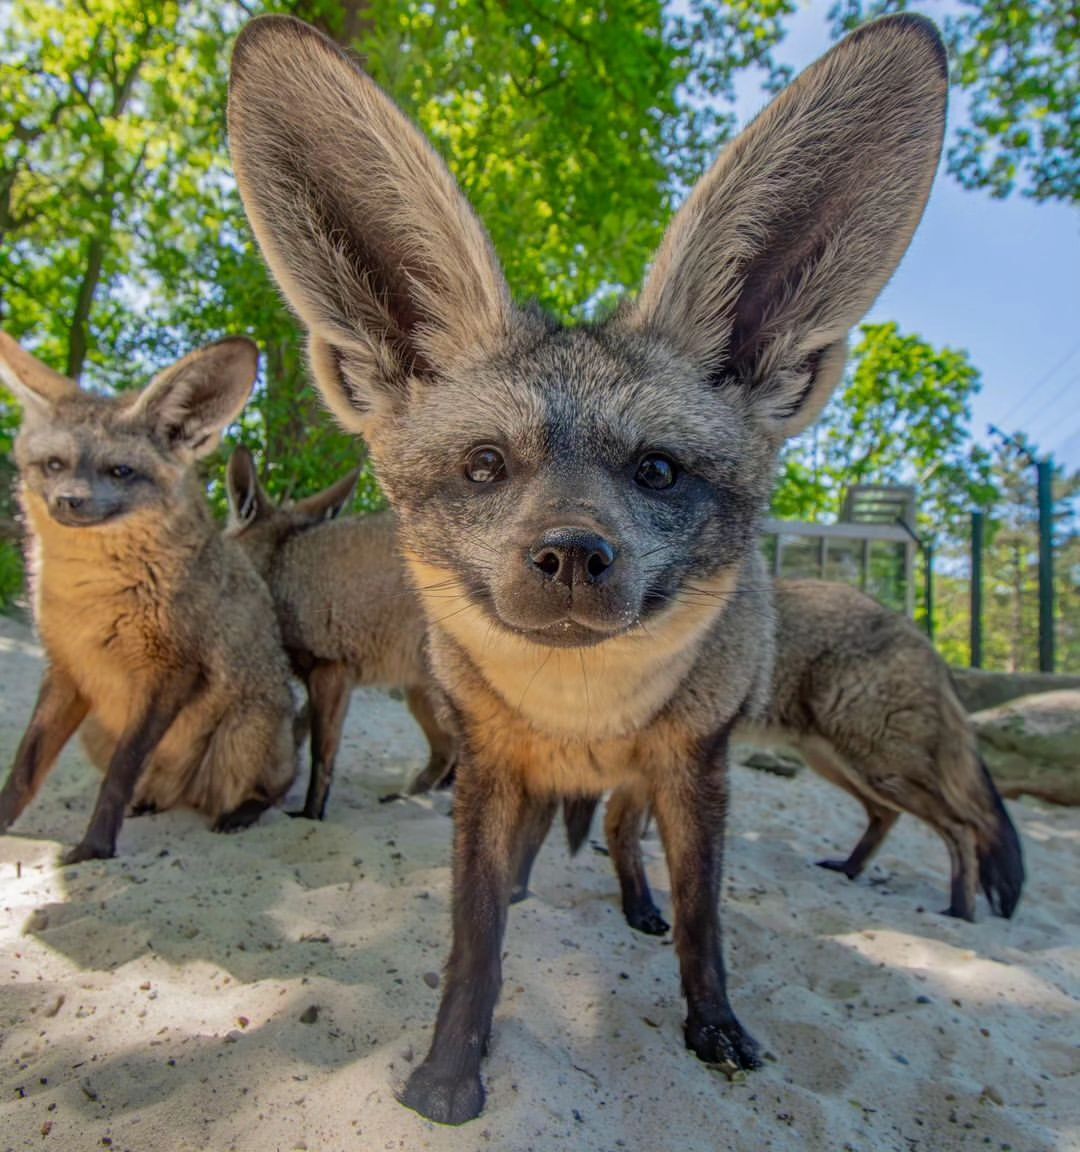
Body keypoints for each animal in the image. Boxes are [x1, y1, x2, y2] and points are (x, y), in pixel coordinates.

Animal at [0, 336, 294, 861]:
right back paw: (152, 802)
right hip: (99, 727)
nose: (68, 500)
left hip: (246, 730)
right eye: (54, 465)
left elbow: (120, 772)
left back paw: (239, 812)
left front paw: (94, 849)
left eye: (121, 471)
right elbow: (25, 768)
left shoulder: (173, 670)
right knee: (159, 790)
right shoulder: (66, 668)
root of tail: (187, 791)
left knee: (274, 790)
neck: (89, 605)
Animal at [225, 449, 453, 820]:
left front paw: (310, 815)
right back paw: (408, 796)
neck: (280, 566)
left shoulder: (330, 669)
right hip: (419, 694)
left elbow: (322, 756)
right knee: (447, 753)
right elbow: (298, 735)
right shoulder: (333, 678)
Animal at [550, 580, 1022, 930]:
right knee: (887, 816)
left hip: (875, 767)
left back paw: (960, 912)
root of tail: (923, 638)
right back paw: (849, 870)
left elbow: (623, 828)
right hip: (835, 764)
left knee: (962, 828)